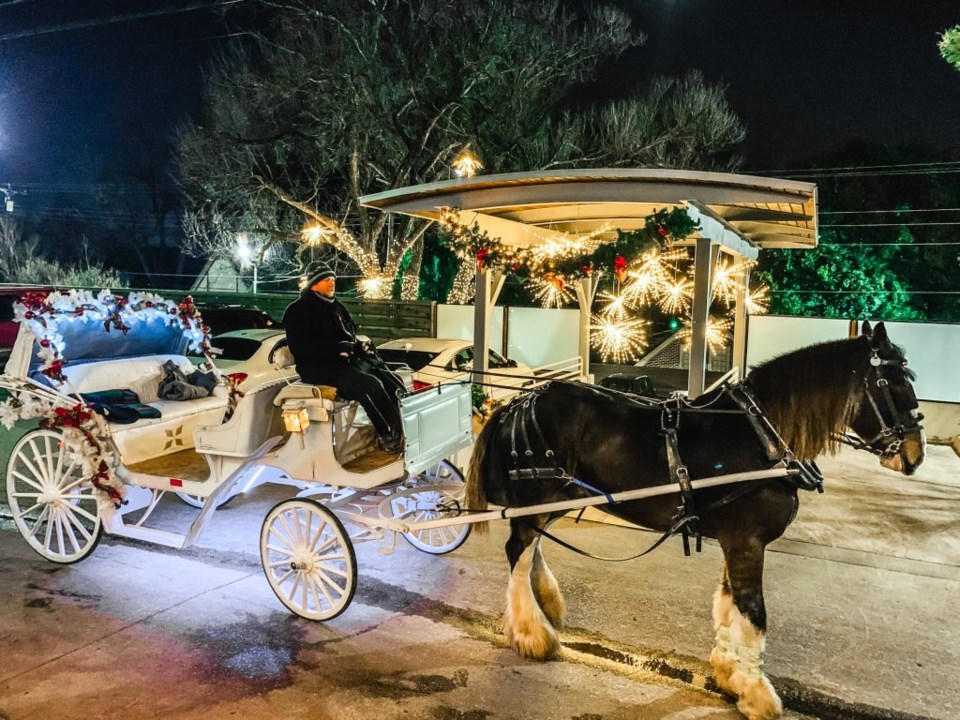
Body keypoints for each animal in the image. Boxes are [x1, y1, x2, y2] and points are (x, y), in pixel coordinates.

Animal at [464, 322, 924, 720]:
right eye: (896, 382)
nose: (915, 455)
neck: (761, 436)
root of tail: (519, 402)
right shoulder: (746, 539)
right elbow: (753, 612)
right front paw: (756, 693)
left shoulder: (736, 539)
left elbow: (729, 603)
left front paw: (730, 672)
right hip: (536, 497)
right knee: (518, 551)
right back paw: (531, 633)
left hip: (555, 498)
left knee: (531, 548)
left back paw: (545, 606)